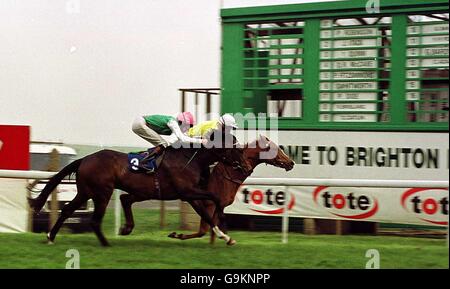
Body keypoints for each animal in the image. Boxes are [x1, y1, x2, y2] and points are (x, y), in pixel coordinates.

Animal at [29, 144, 250, 245]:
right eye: (235, 149)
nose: (246, 166)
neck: (190, 158)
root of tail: (85, 159)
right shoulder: (188, 191)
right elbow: (214, 200)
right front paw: (224, 229)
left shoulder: (190, 195)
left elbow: (206, 213)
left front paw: (226, 236)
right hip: (102, 192)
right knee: (94, 220)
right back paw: (106, 243)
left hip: (85, 192)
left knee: (67, 209)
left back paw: (51, 237)